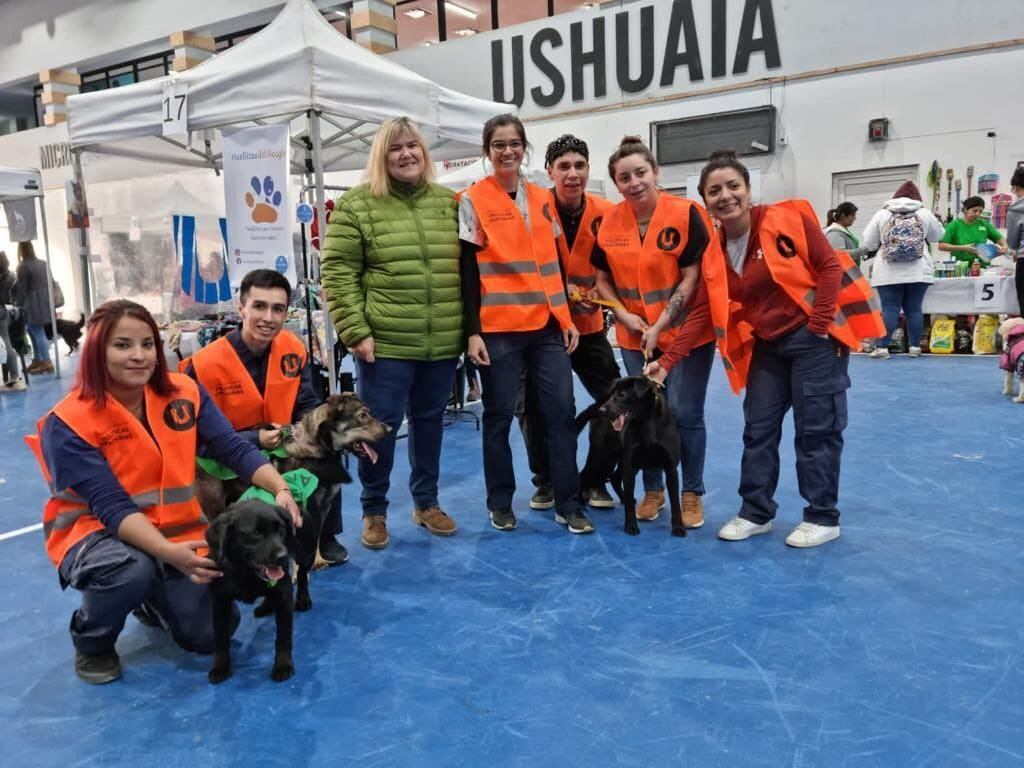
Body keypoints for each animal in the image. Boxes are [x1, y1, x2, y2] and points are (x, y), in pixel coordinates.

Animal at [204, 499, 299, 684]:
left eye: (280, 530)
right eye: (256, 533)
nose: (283, 556)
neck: (246, 572)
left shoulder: (285, 594)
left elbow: (283, 636)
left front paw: (283, 665)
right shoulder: (219, 601)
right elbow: (220, 638)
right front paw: (220, 667)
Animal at [581, 376, 684, 536]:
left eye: (622, 395)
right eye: (612, 393)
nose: (603, 410)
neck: (647, 421)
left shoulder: (670, 468)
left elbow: (675, 503)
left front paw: (678, 528)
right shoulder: (630, 465)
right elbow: (629, 504)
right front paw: (631, 526)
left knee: (614, 477)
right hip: (602, 456)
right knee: (584, 475)